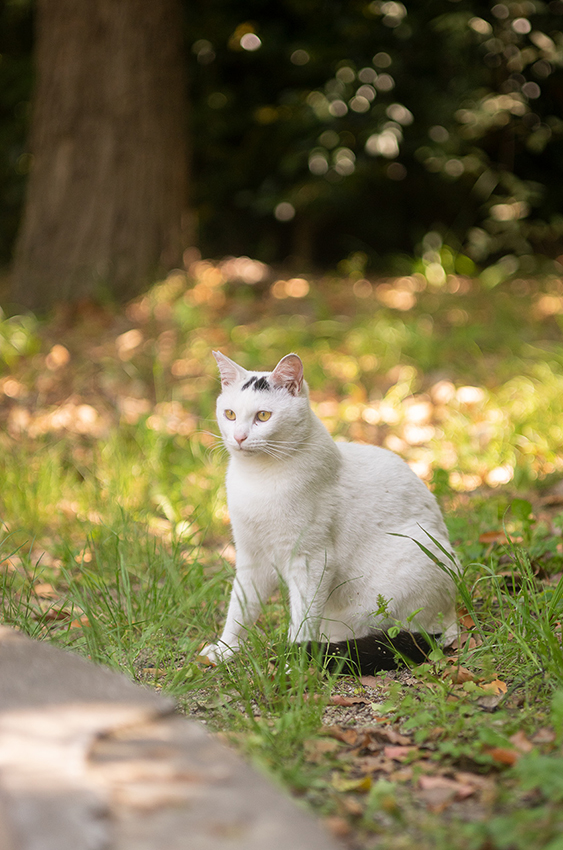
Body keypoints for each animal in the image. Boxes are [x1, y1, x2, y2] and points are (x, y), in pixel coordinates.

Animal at [200, 352, 460, 668]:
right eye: (230, 414)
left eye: (263, 416)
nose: (238, 437)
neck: (258, 479)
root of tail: (450, 618)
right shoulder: (252, 558)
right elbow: (240, 609)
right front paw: (225, 648)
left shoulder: (311, 561)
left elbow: (303, 618)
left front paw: (295, 661)